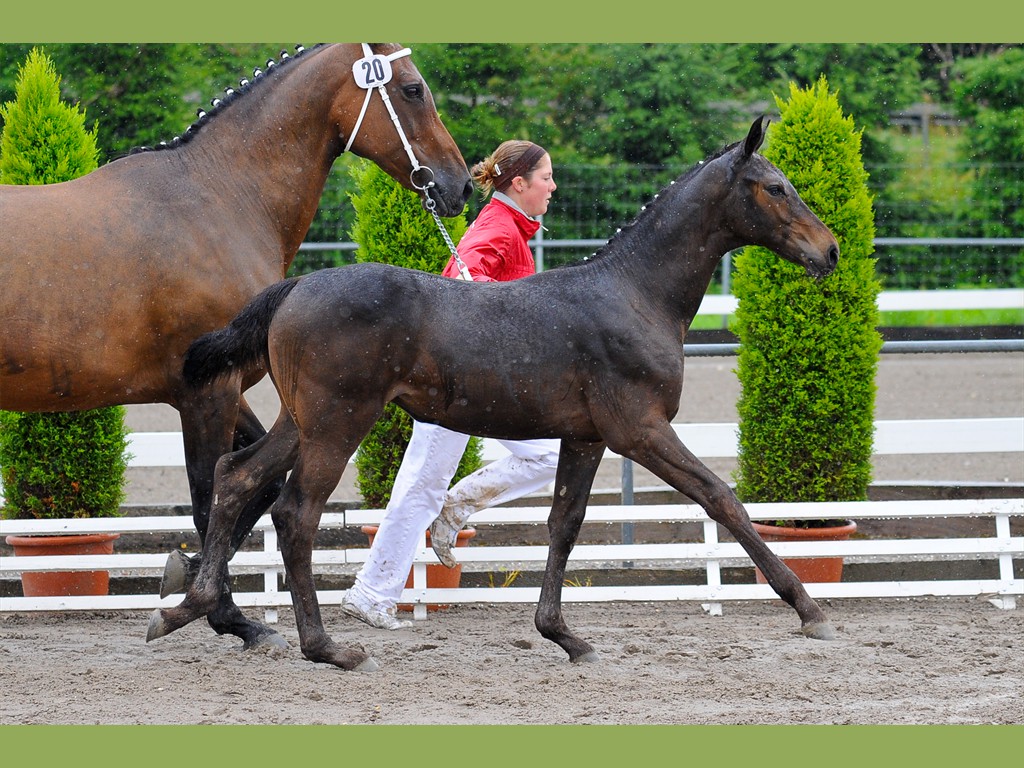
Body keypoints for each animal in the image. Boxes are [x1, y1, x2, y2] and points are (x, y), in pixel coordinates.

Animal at [0, 41, 471, 651]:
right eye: (413, 89)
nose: (461, 185)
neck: (217, 198)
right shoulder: (208, 392)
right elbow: (211, 497)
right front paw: (223, 614)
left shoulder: (226, 391)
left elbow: (254, 486)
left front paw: (189, 579)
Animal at [149, 117, 839, 671]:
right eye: (775, 187)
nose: (830, 251)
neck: (634, 294)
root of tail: (296, 287)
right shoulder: (639, 430)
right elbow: (721, 498)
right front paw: (810, 609)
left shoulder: (584, 438)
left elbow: (565, 523)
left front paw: (564, 636)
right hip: (338, 423)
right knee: (296, 513)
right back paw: (327, 647)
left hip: (303, 421)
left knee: (238, 476)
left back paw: (186, 608)